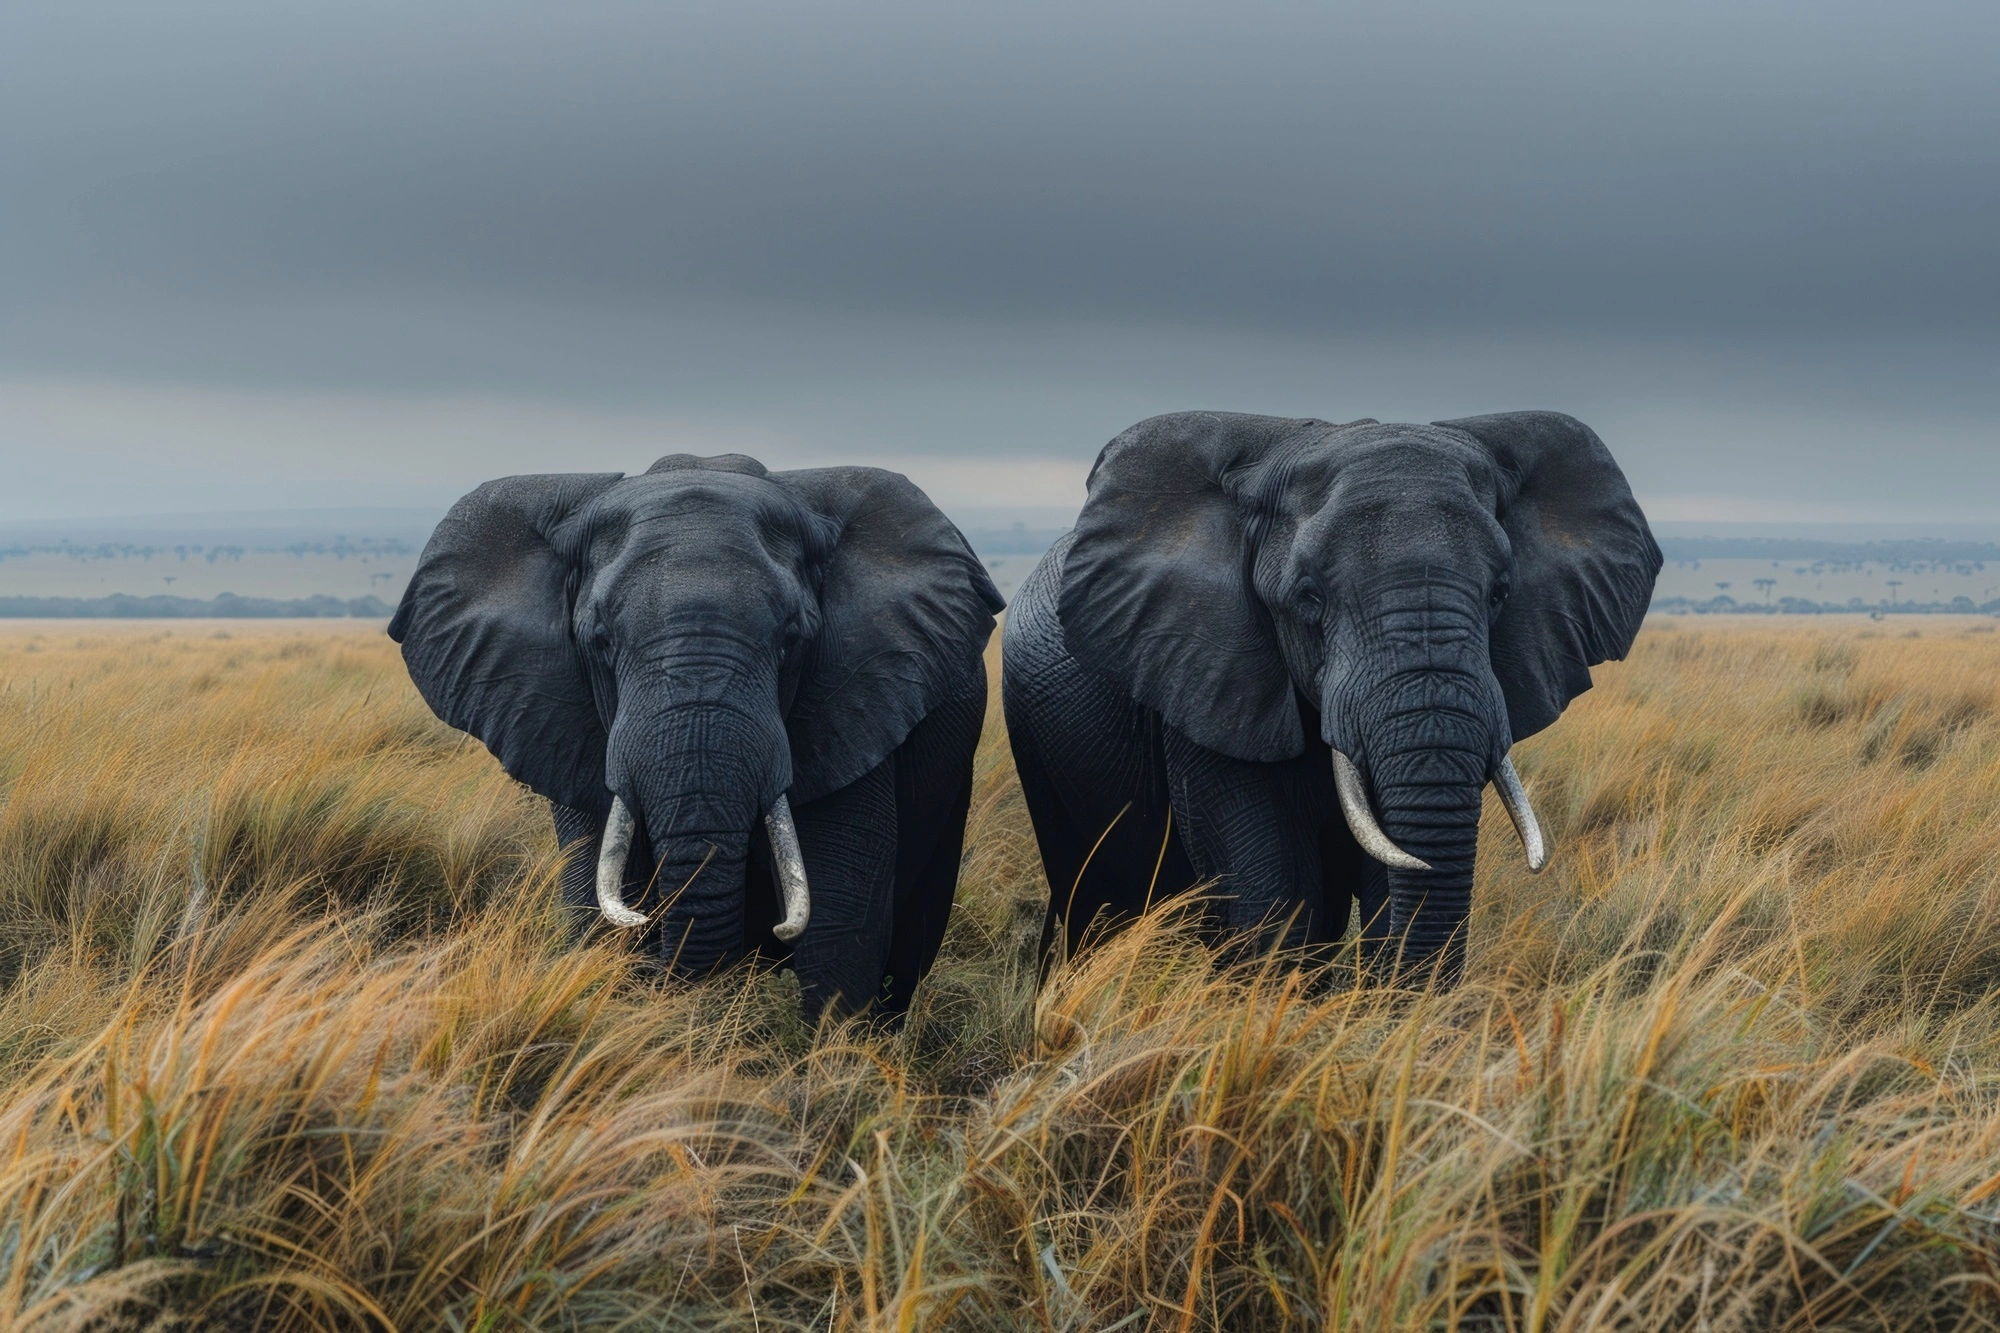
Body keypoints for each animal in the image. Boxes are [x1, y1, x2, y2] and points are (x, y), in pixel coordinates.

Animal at [1002, 411, 1660, 984]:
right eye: (1309, 597)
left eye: (1500, 593)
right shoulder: (1206, 674)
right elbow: (1270, 890)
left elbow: (1380, 881)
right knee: (1087, 898)